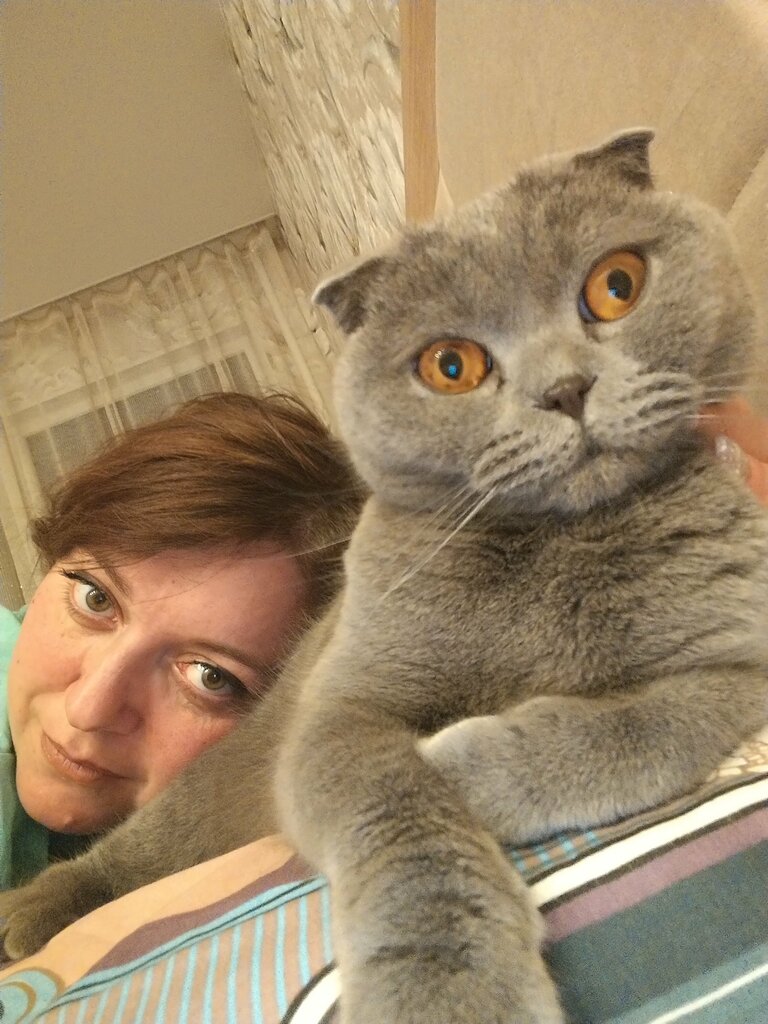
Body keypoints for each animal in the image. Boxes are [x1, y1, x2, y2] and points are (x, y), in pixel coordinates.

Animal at [2, 130, 767, 1024]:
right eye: (450, 366)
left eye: (617, 287)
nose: (565, 389)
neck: (559, 542)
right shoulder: (339, 715)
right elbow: (402, 820)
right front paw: (447, 990)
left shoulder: (739, 660)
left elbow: (642, 725)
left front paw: (464, 761)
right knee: (136, 854)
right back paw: (30, 912)